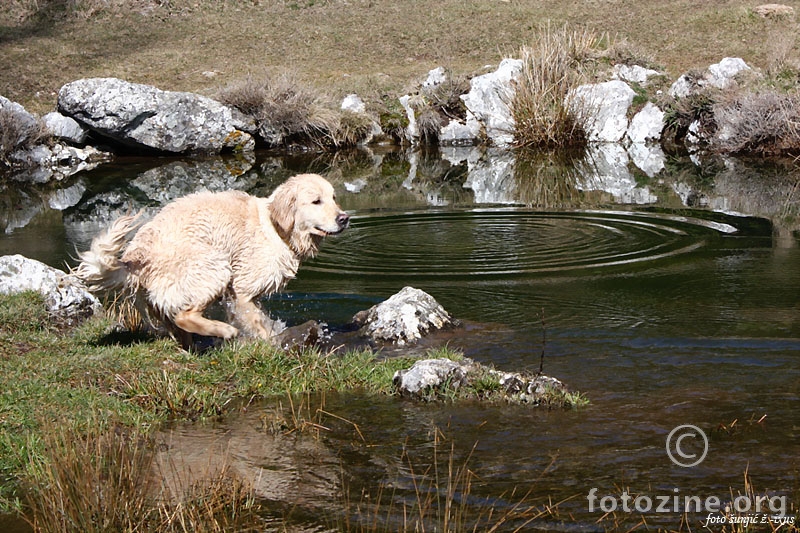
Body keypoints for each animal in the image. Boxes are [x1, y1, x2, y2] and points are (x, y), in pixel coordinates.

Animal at [73, 175, 348, 348]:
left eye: (334, 197)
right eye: (316, 201)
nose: (344, 218)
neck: (276, 227)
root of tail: (136, 257)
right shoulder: (242, 288)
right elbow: (255, 323)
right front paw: (269, 342)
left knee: (176, 323)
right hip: (213, 265)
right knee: (185, 315)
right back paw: (223, 331)